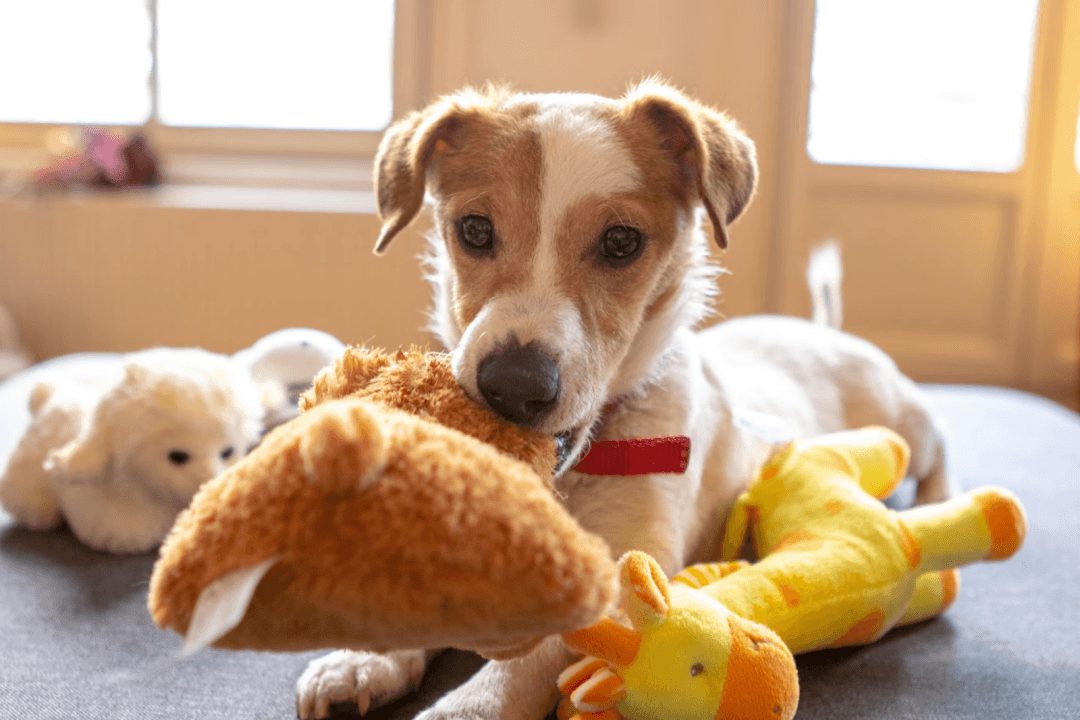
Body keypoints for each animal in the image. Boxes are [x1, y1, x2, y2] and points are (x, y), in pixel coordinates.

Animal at [293, 80, 954, 720]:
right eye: (474, 230)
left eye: (620, 241)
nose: (515, 385)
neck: (573, 472)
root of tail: (822, 330)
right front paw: (364, 659)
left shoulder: (632, 564)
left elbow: (534, 657)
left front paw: (468, 706)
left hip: (904, 424)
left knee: (939, 447)